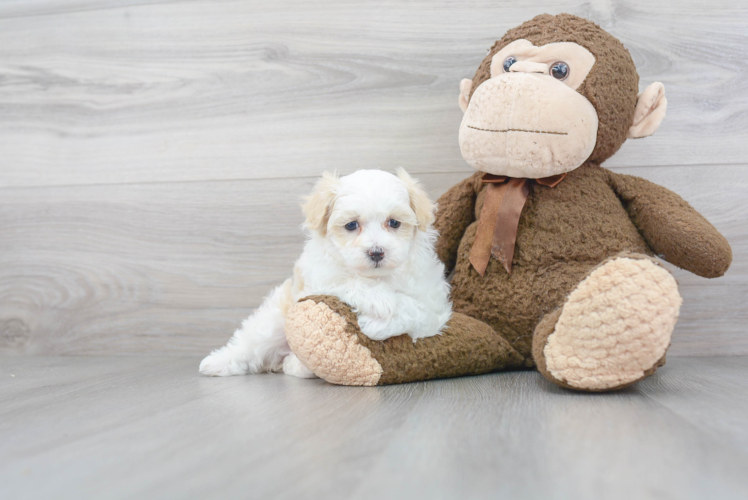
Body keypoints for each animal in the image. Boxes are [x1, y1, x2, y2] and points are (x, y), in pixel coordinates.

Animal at [199, 169, 452, 378]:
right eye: (351, 225)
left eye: (394, 223)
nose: (376, 252)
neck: (377, 277)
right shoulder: (321, 279)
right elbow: (349, 282)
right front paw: (379, 300)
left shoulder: (433, 305)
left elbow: (414, 310)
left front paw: (373, 324)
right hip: (274, 320)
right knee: (251, 344)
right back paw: (217, 363)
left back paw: (295, 364)